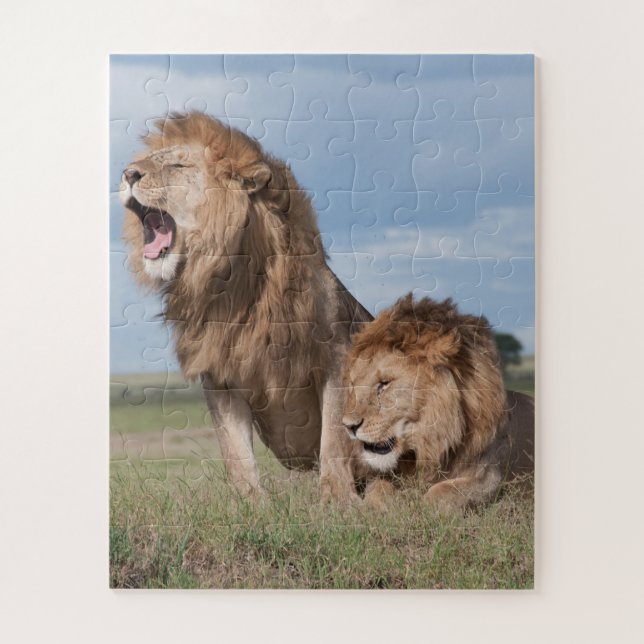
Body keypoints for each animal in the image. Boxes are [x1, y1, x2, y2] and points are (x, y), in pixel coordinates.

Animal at [120, 112, 372, 499]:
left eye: (177, 165)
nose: (128, 174)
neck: (231, 283)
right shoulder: (220, 374)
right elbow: (235, 451)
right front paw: (251, 503)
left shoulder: (336, 355)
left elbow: (333, 438)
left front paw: (337, 499)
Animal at [341, 294, 534, 511]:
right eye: (353, 384)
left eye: (384, 384)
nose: (348, 426)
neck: (431, 441)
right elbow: (378, 488)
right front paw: (378, 508)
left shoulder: (488, 477)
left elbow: (441, 492)